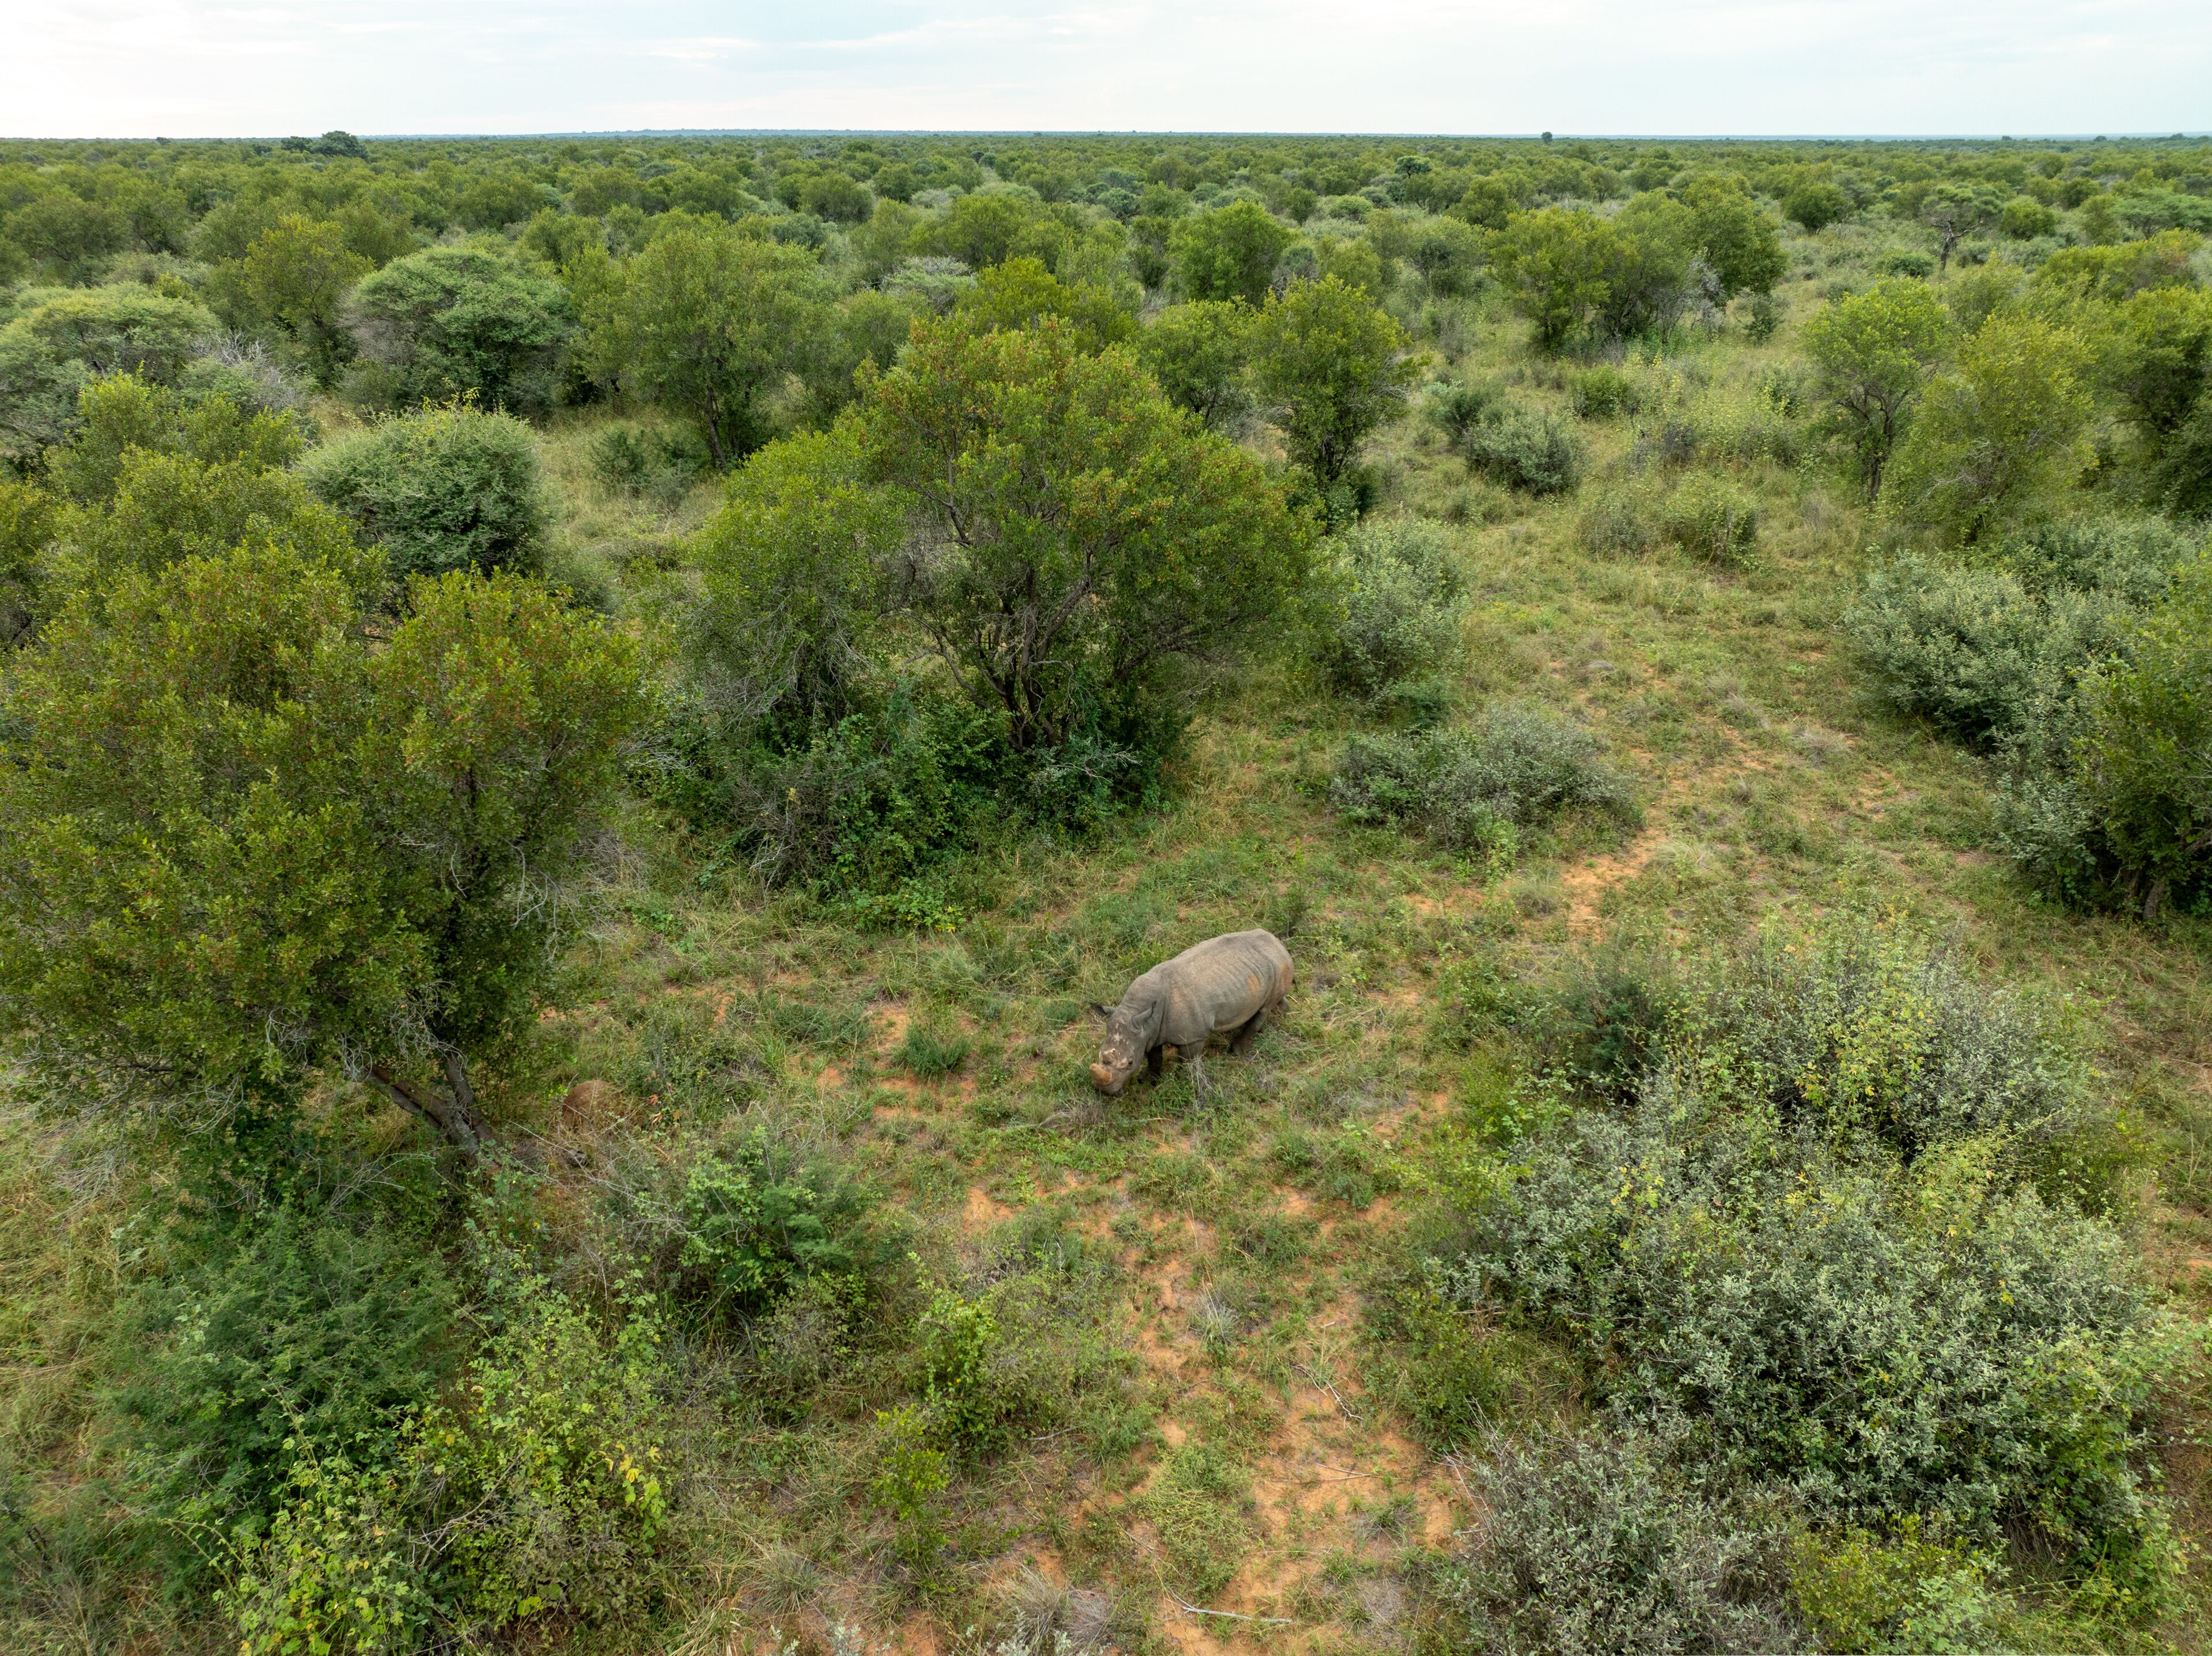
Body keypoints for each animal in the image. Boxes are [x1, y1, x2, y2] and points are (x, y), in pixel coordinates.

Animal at [1089, 929, 1293, 1096]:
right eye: (1099, 1054)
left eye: (1130, 1063)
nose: (1104, 1092)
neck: (1136, 1010)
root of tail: (1279, 943)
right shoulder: (1150, 1031)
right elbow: (1154, 1058)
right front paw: (1147, 1080)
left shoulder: (1192, 1037)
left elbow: (1187, 1061)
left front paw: (1183, 1082)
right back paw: (1283, 1012)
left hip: (1280, 964)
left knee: (1264, 1009)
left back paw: (1237, 1050)